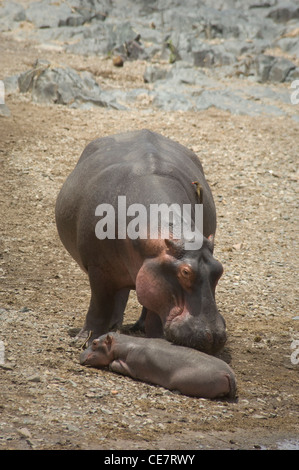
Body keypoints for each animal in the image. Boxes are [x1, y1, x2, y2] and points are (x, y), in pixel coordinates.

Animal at [55, 129, 226, 352]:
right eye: (185, 272)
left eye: (220, 269)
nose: (214, 336)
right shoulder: (97, 267)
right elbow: (99, 305)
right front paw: (84, 340)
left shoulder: (156, 275)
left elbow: (154, 309)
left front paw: (157, 339)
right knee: (116, 295)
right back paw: (112, 326)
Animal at [79, 330, 237, 400]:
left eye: (94, 343)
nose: (80, 355)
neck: (121, 344)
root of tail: (228, 373)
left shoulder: (133, 366)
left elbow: (114, 364)